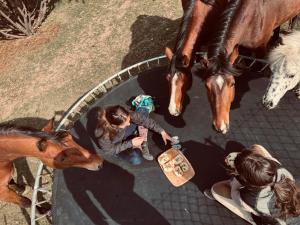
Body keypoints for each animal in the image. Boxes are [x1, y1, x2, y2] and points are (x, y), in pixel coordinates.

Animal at [197, 0, 300, 134]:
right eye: (206, 86)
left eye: (232, 84)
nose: (220, 126)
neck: (253, 15)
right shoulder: (243, 48)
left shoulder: (261, 49)